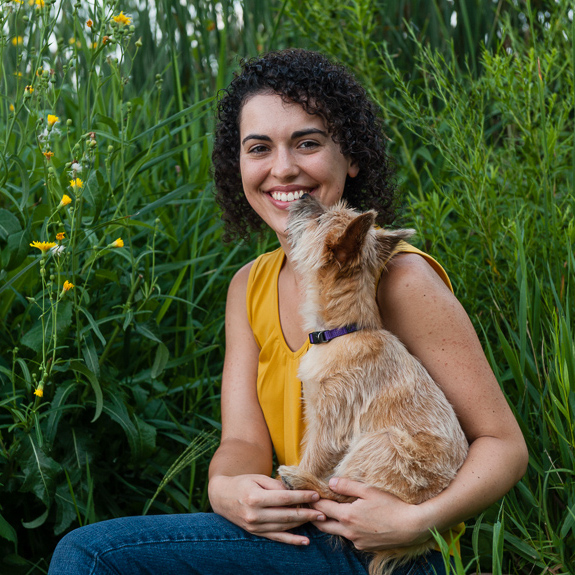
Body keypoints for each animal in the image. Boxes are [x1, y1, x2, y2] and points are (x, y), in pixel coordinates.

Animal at [276, 195, 470, 575]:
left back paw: (301, 481)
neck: (346, 330)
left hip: (379, 443)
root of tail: (426, 535)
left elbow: (313, 457)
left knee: (339, 495)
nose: (304, 196)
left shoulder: (330, 424)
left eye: (319, 217)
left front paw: (301, 478)